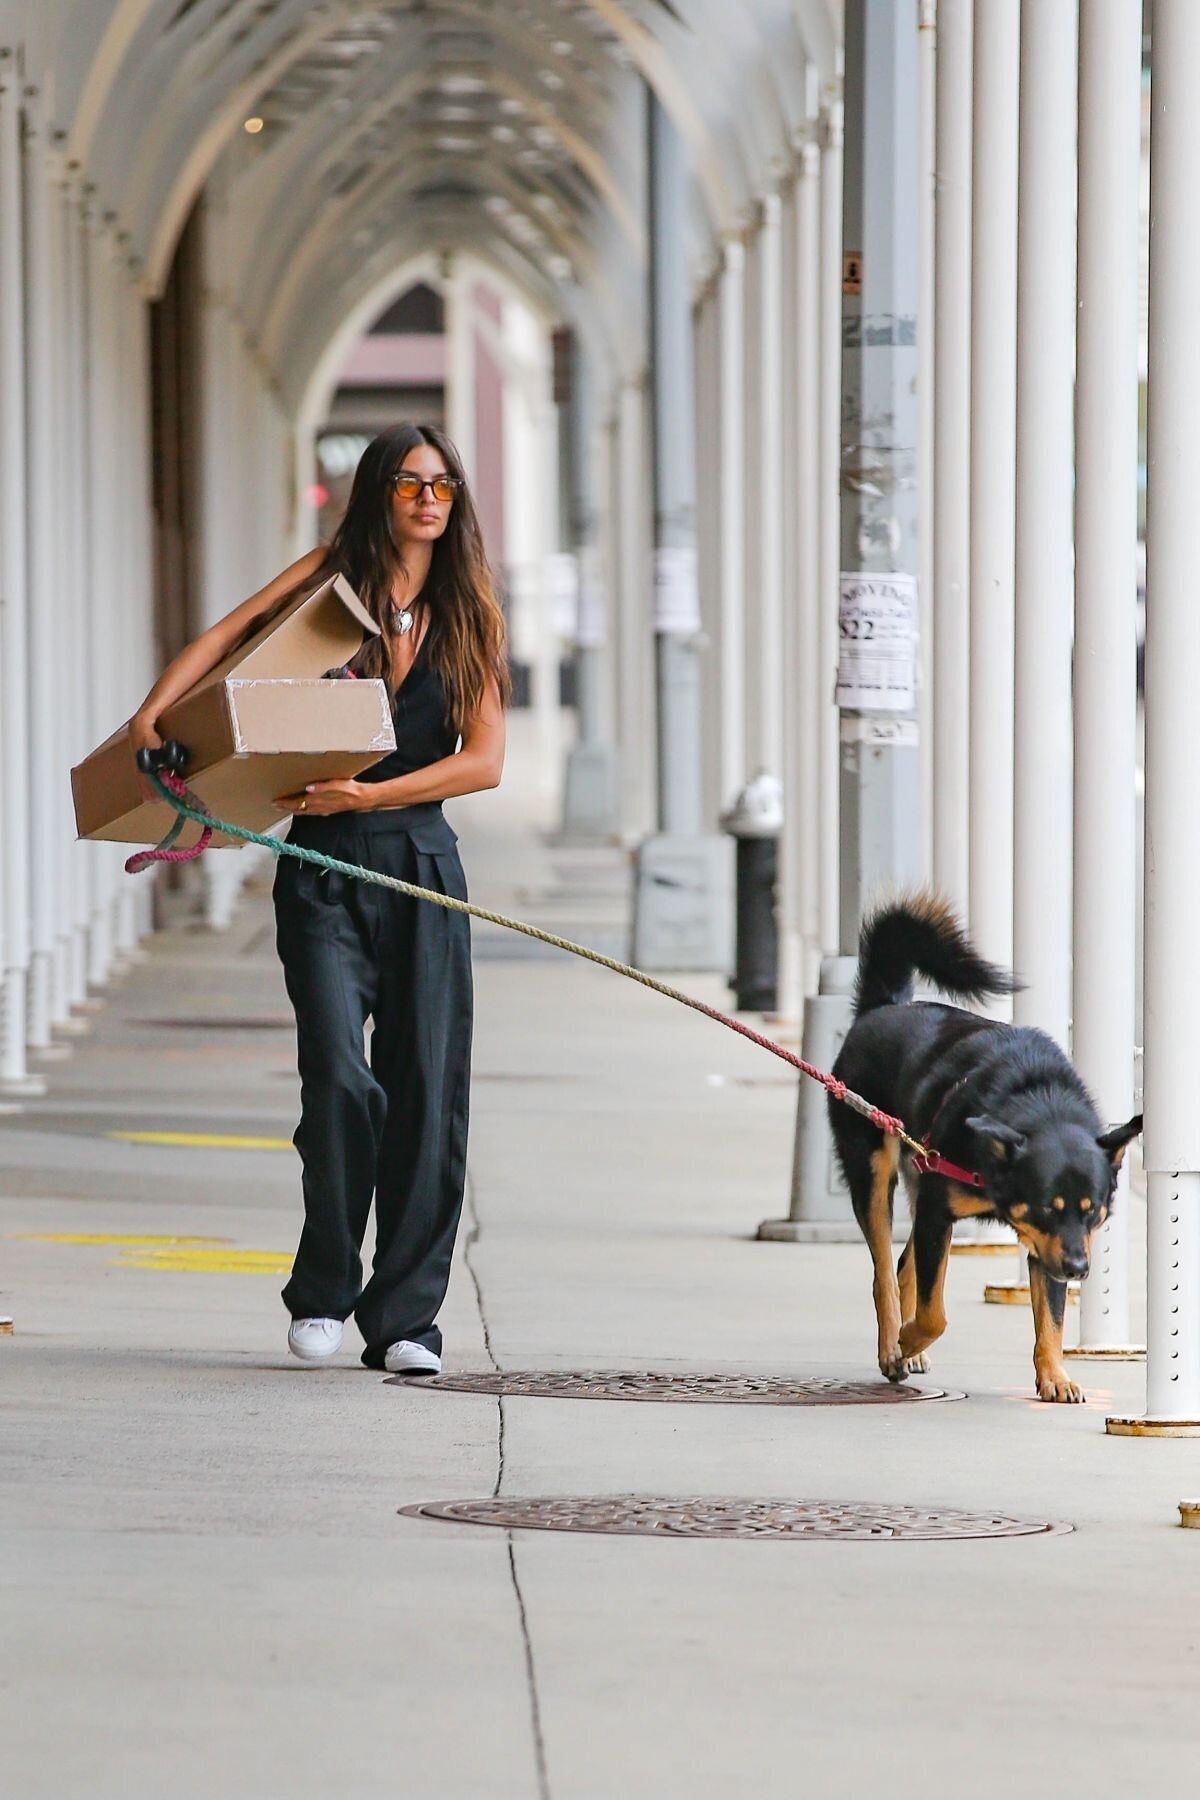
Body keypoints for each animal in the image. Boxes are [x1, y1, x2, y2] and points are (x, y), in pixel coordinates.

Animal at [828, 895, 1141, 1404]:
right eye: (1047, 1208)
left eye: (1094, 1212)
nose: (1079, 1268)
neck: (1038, 1100)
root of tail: (882, 1008)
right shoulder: (941, 1211)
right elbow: (935, 1313)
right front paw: (909, 1338)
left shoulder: (1040, 1245)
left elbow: (1051, 1317)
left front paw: (1054, 1375)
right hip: (874, 1173)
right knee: (884, 1273)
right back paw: (894, 1344)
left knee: (904, 1264)